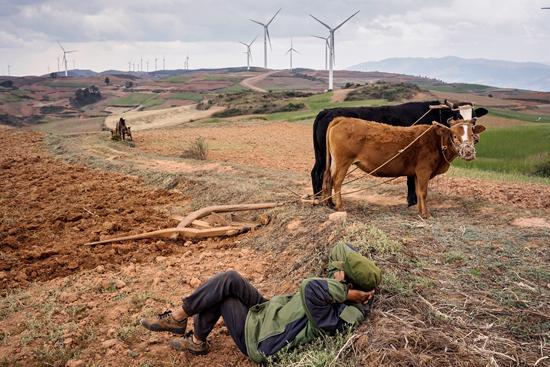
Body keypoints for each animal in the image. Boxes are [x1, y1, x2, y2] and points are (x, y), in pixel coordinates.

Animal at [324, 117, 488, 218]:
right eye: (454, 135)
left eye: (472, 134)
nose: (468, 152)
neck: (437, 140)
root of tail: (343, 118)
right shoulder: (424, 171)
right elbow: (423, 192)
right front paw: (426, 214)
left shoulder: (416, 173)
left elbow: (417, 192)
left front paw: (420, 211)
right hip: (343, 162)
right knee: (337, 181)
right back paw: (340, 206)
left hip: (334, 162)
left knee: (327, 179)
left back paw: (328, 203)